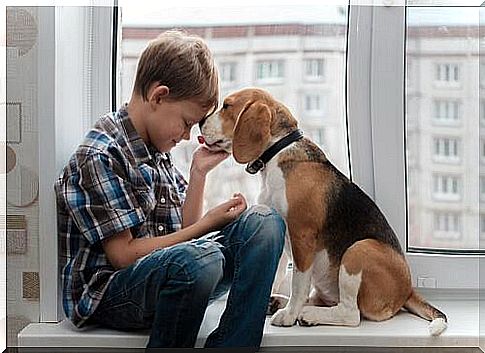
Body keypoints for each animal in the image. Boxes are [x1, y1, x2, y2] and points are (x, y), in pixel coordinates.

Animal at [199, 86, 448, 334]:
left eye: (227, 106)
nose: (201, 121)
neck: (278, 152)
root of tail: (408, 290)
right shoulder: (278, 228)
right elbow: (276, 274)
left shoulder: (302, 236)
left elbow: (298, 283)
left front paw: (289, 315)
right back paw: (279, 302)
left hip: (359, 249)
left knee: (351, 314)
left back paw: (305, 314)